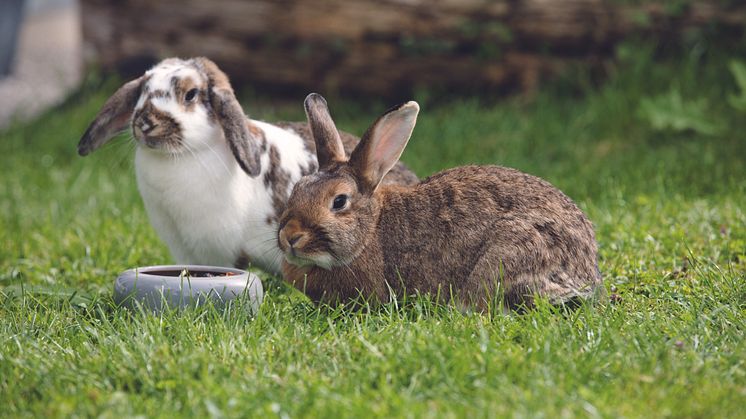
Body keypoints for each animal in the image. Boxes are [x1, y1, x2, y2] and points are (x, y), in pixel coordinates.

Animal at [77, 59, 416, 276]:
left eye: (190, 94)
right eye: (141, 93)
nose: (145, 123)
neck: (181, 155)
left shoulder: (220, 249)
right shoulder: (182, 247)